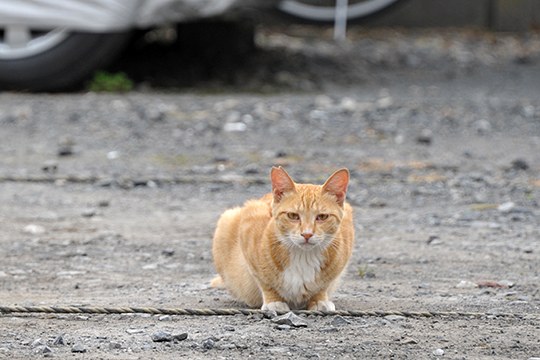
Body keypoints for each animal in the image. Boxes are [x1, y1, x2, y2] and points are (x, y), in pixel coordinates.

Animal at [211, 167, 354, 310]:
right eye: (293, 216)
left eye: (322, 217)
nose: (307, 234)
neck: (303, 256)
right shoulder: (249, 226)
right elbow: (265, 282)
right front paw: (273, 301)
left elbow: (323, 285)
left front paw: (319, 300)